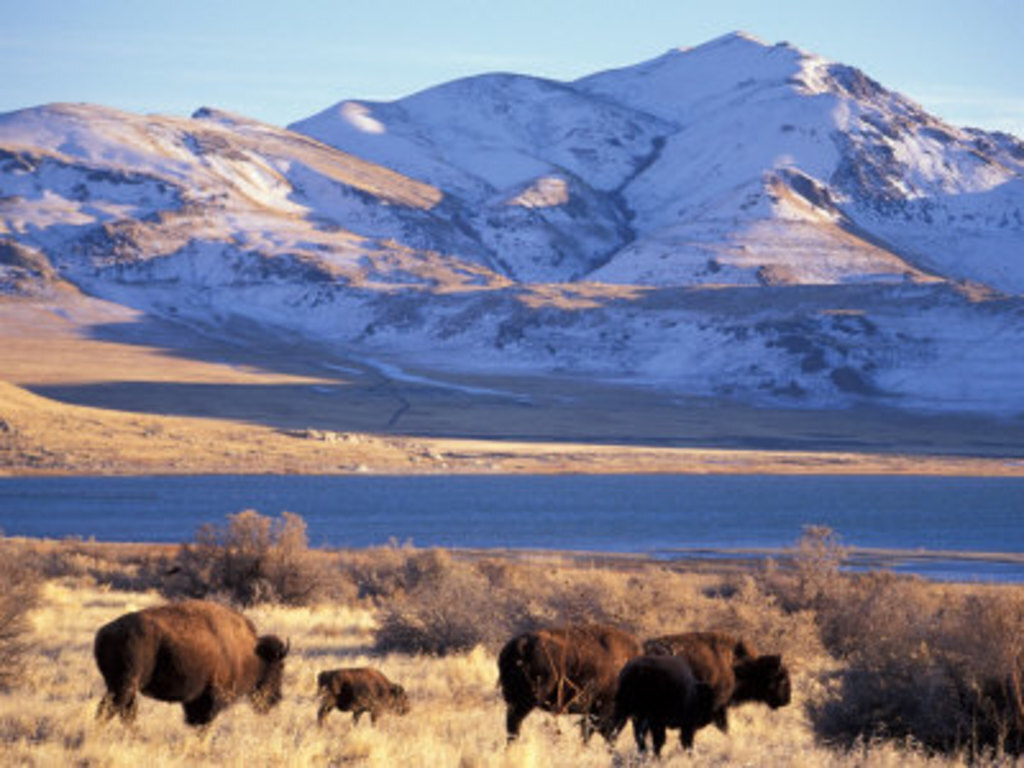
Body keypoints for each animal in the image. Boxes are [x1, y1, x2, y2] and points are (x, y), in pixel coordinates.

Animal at [94, 600, 289, 727]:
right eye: (279, 666)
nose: (276, 699)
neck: (252, 652)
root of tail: (103, 633)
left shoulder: (196, 700)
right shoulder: (211, 699)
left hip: (124, 688)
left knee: (126, 714)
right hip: (123, 687)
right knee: (107, 712)